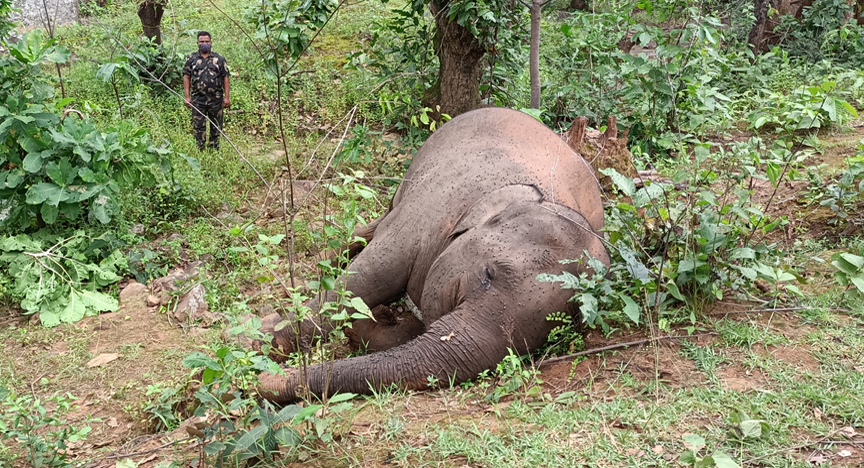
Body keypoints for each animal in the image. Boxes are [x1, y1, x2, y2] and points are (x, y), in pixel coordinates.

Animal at [255, 107, 608, 402]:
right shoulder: (429, 214)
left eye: (546, 334)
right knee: (381, 221)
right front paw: (257, 341)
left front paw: (375, 320)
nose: (262, 381)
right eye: (488, 274)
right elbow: (367, 278)